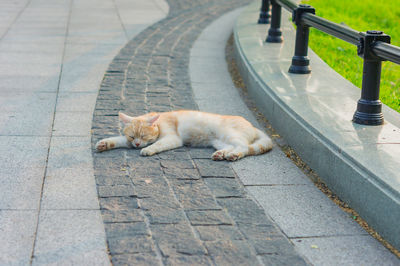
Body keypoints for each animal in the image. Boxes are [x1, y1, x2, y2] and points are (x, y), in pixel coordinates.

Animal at [95, 109, 274, 160]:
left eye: (144, 136)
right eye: (132, 136)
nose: (137, 144)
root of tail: (253, 125)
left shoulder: (172, 137)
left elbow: (158, 144)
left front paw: (148, 149)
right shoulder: (127, 141)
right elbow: (117, 140)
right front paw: (104, 143)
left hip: (229, 134)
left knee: (244, 147)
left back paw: (233, 155)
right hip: (220, 141)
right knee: (235, 146)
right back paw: (221, 154)